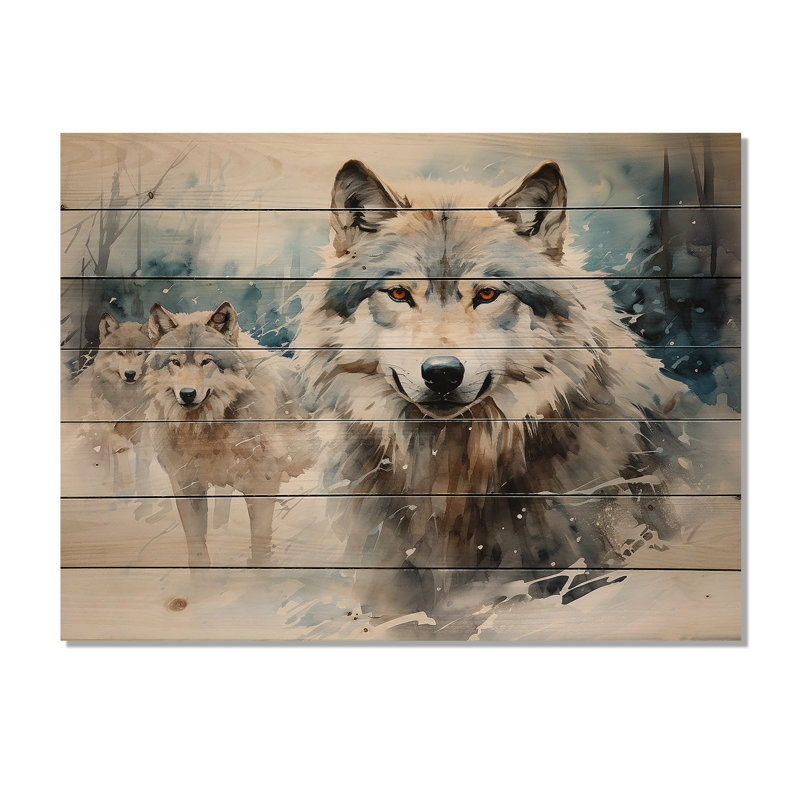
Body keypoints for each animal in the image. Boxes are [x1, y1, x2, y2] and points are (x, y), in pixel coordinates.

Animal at [144, 301, 315, 567]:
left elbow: (260, 551)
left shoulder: (262, 485)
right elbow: (197, 553)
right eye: (176, 362)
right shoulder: (186, 485)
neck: (205, 429)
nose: (187, 394)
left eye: (206, 362)